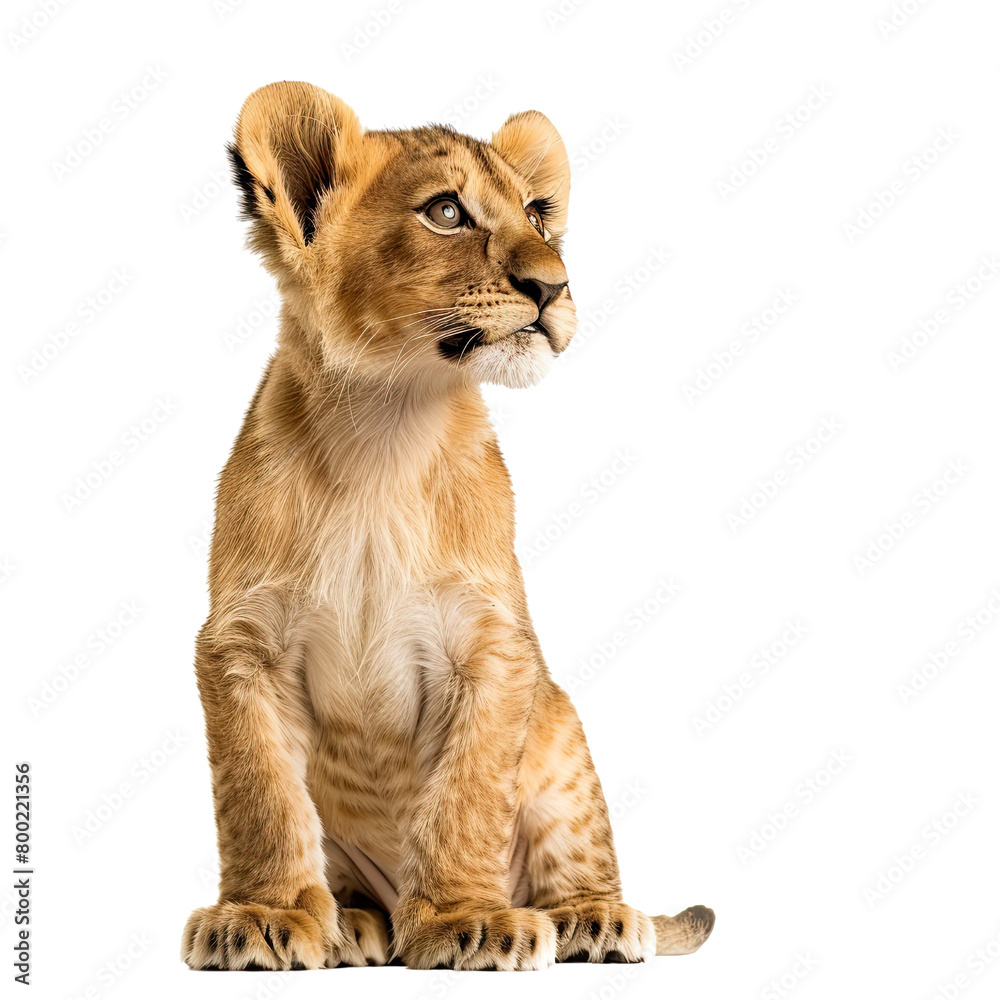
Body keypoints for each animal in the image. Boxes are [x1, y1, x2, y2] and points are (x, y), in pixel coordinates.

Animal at [181, 81, 714, 972]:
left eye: (537, 214)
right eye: (445, 212)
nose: (555, 286)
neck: (385, 429)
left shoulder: (492, 644)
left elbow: (467, 795)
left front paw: (470, 918)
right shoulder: (241, 642)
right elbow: (258, 793)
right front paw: (261, 916)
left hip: (561, 734)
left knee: (579, 850)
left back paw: (590, 919)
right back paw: (355, 924)